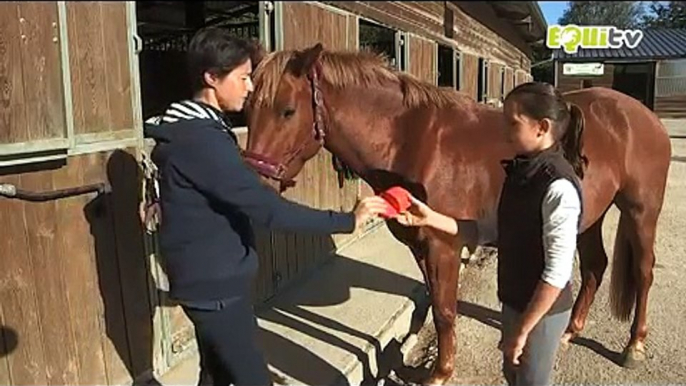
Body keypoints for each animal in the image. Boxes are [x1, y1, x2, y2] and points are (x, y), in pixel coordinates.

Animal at [243, 43, 672, 384]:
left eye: (287, 110)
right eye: (247, 109)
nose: (255, 183)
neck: (410, 139)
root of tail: (640, 115)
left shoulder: (443, 247)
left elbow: (446, 312)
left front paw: (440, 374)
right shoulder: (423, 247)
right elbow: (437, 306)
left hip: (640, 210)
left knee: (643, 271)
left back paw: (634, 346)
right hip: (588, 217)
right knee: (595, 267)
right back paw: (570, 332)